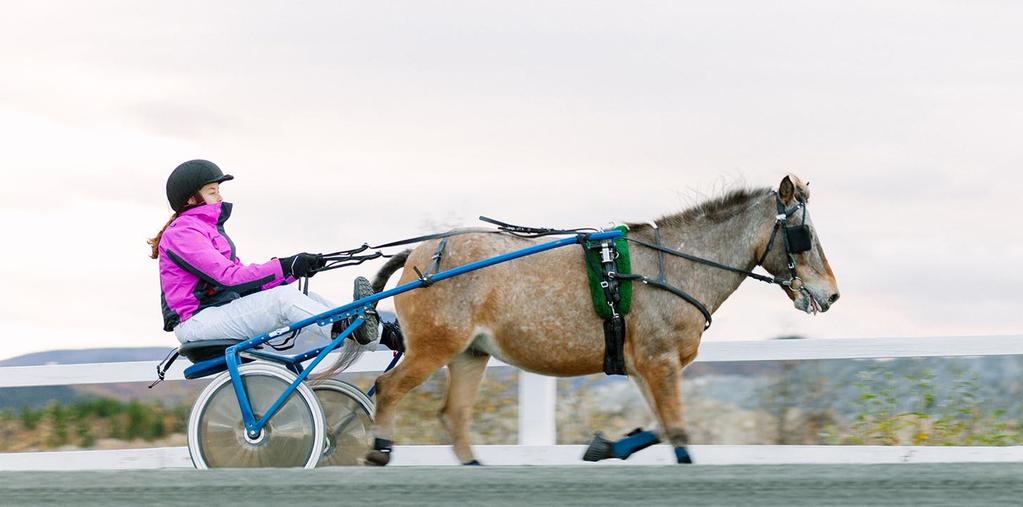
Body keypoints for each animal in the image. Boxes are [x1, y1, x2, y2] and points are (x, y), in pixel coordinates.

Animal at [362, 175, 838, 466]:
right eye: (805, 235)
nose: (831, 293)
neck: (670, 267)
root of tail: (422, 252)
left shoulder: (644, 367)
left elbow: (661, 429)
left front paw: (604, 446)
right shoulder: (659, 361)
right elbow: (678, 433)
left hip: (469, 353)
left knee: (454, 415)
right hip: (434, 345)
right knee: (388, 388)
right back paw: (379, 448)